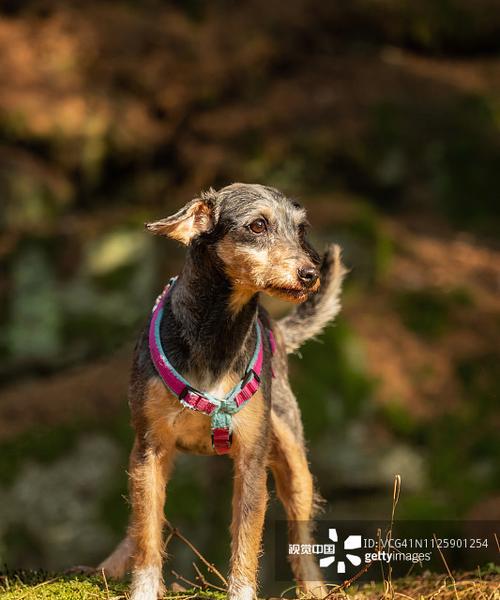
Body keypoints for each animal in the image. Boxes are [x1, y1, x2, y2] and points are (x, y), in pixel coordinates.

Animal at [98, 183, 348, 600]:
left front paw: (241, 591)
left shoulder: (252, 460)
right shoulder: (150, 450)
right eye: (258, 225)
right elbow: (147, 531)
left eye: (301, 229)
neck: (218, 335)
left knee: (300, 535)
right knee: (139, 520)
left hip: (295, 461)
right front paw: (144, 589)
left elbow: (246, 541)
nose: (309, 273)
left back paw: (314, 588)